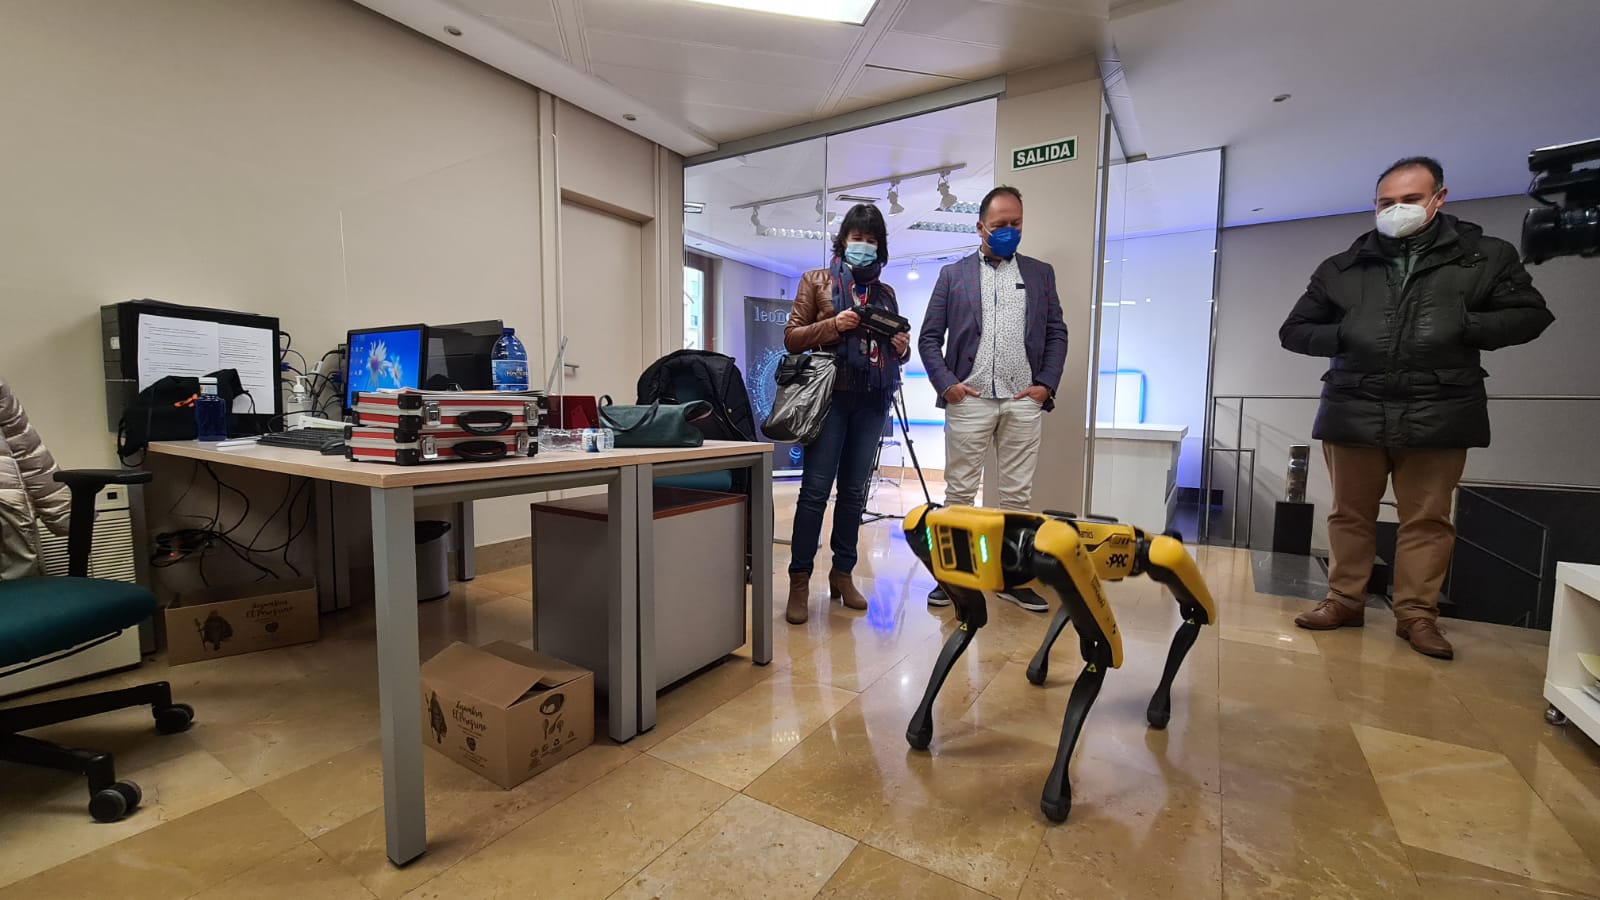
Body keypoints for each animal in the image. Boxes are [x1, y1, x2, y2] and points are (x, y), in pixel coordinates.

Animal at [902, 506, 1209, 819]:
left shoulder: (1064, 556)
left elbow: (1104, 653)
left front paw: (1057, 790)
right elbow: (970, 624)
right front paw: (919, 724)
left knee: (1179, 586)